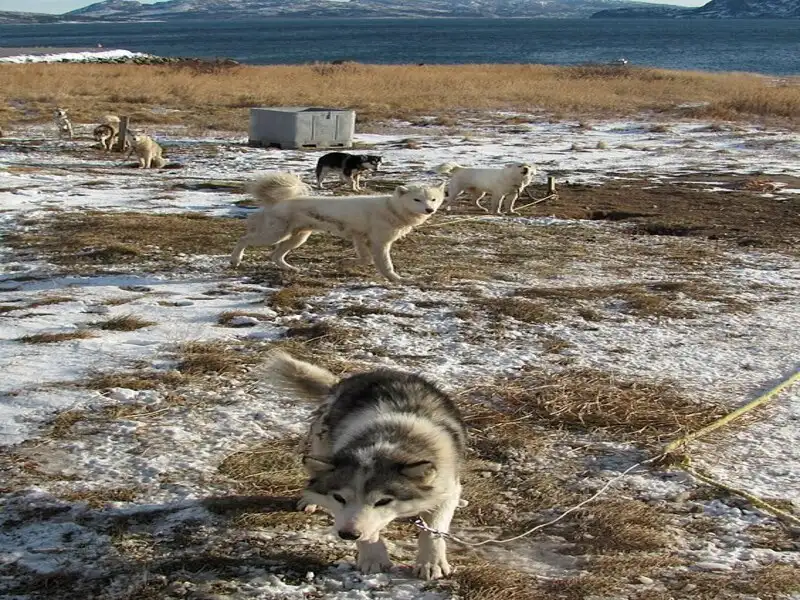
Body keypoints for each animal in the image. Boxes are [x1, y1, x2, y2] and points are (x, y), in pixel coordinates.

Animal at [228, 171, 446, 284]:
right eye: (417, 199)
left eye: (433, 199)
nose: (429, 209)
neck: (392, 208)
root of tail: (280, 201)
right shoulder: (380, 244)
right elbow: (385, 264)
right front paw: (396, 279)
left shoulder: (360, 239)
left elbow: (365, 259)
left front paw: (345, 263)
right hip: (275, 235)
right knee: (244, 239)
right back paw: (235, 260)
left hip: (297, 238)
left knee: (275, 256)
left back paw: (292, 269)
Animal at [268, 352, 468, 580]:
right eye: (340, 498)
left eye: (383, 501)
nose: (348, 534)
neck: (390, 437)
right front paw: (373, 557)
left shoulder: (446, 489)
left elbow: (433, 532)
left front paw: (431, 562)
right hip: (322, 443)